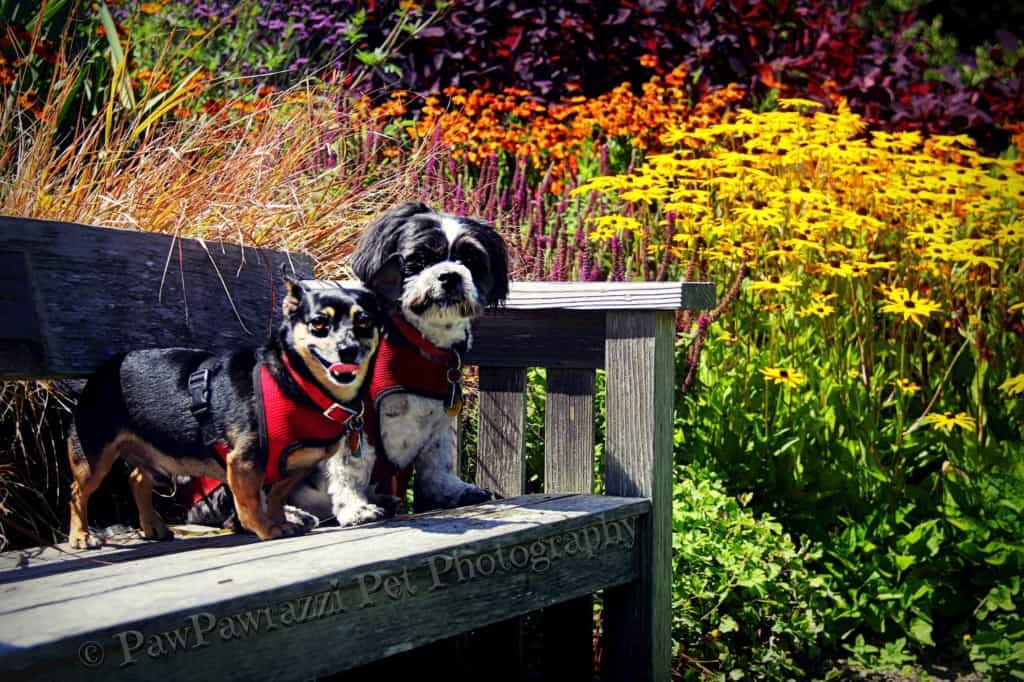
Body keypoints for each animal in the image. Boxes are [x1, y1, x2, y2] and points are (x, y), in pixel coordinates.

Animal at [67, 276, 380, 548]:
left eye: (364, 321)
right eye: (319, 323)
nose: (348, 349)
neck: (295, 383)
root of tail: (96, 376)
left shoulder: (296, 466)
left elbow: (277, 496)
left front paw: (280, 521)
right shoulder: (242, 463)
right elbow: (251, 503)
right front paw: (266, 529)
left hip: (155, 457)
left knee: (136, 481)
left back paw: (153, 526)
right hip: (95, 460)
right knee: (77, 493)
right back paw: (81, 536)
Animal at [323, 199, 507, 518]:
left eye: (470, 260)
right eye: (419, 260)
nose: (450, 275)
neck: (416, 343)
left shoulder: (440, 420)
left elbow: (438, 462)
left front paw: (452, 491)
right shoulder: (351, 417)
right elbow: (349, 465)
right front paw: (355, 508)